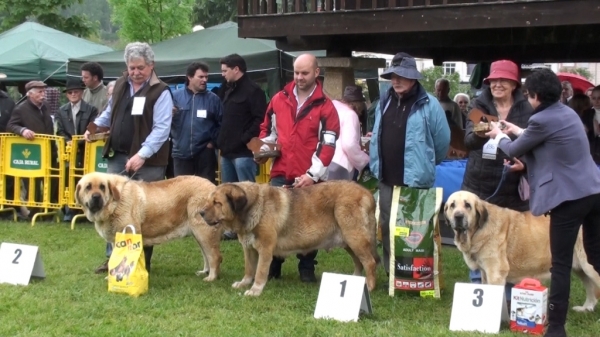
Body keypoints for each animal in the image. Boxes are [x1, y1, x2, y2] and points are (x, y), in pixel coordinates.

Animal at [76, 172, 224, 280]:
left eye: (102, 187)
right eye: (88, 187)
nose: (96, 197)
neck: (115, 203)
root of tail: (214, 187)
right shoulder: (115, 241)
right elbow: (115, 258)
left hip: (203, 231)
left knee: (215, 256)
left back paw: (211, 278)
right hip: (198, 234)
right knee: (206, 255)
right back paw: (204, 272)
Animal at [200, 180, 380, 296]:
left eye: (217, 203)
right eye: (209, 201)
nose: (200, 212)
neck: (252, 207)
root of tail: (368, 194)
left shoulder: (265, 249)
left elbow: (260, 272)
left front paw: (255, 290)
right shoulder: (249, 248)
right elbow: (249, 269)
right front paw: (244, 283)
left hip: (355, 238)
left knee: (370, 262)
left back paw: (369, 287)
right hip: (350, 242)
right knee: (359, 262)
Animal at [446, 190, 600, 312]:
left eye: (468, 205)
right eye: (452, 205)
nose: (458, 216)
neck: (477, 230)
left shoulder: (495, 273)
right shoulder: (485, 272)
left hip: (589, 266)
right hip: (580, 268)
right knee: (590, 288)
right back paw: (586, 308)